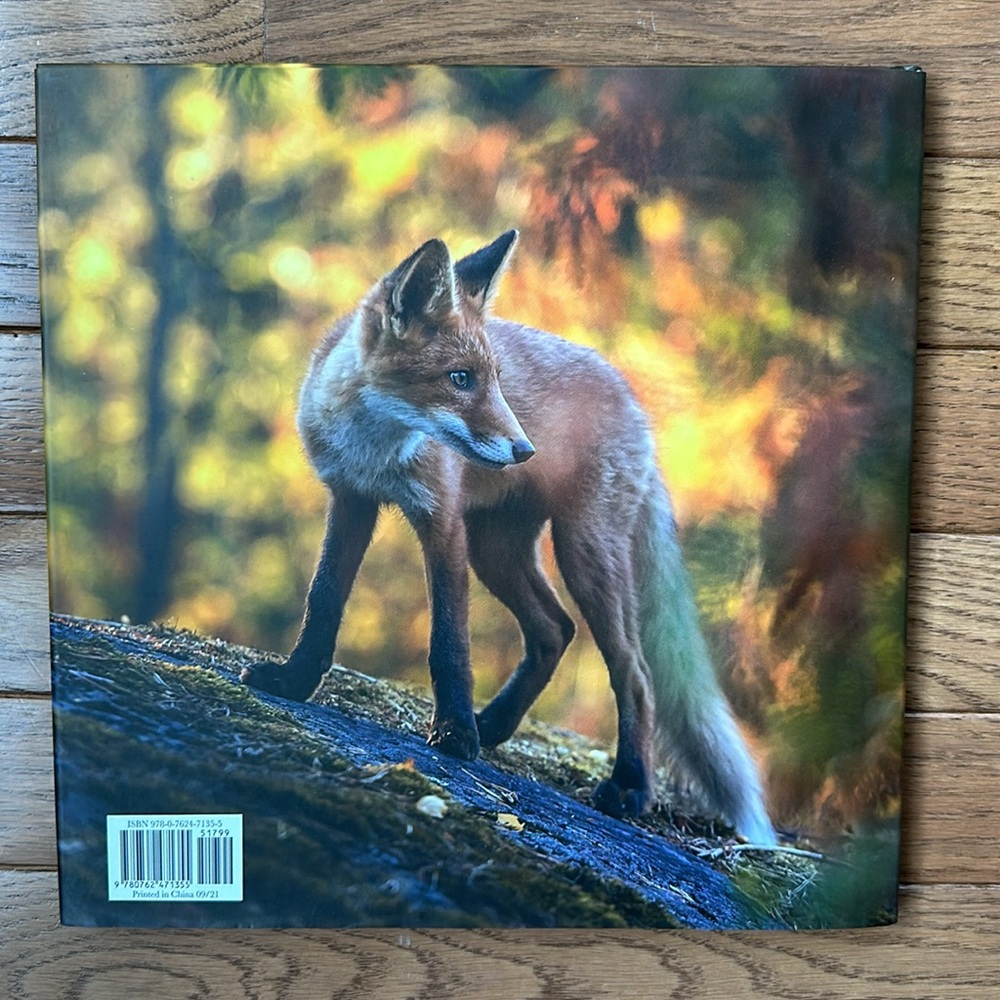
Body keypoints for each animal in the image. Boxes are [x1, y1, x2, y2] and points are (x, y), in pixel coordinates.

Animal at [241, 229, 776, 845]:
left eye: (494, 378)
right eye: (459, 378)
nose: (524, 450)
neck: (377, 448)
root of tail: (633, 399)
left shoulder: (442, 521)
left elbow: (449, 643)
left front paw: (453, 736)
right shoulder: (352, 501)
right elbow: (323, 601)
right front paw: (294, 681)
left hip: (582, 552)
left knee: (634, 672)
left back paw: (630, 787)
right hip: (496, 551)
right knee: (555, 630)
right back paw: (494, 723)